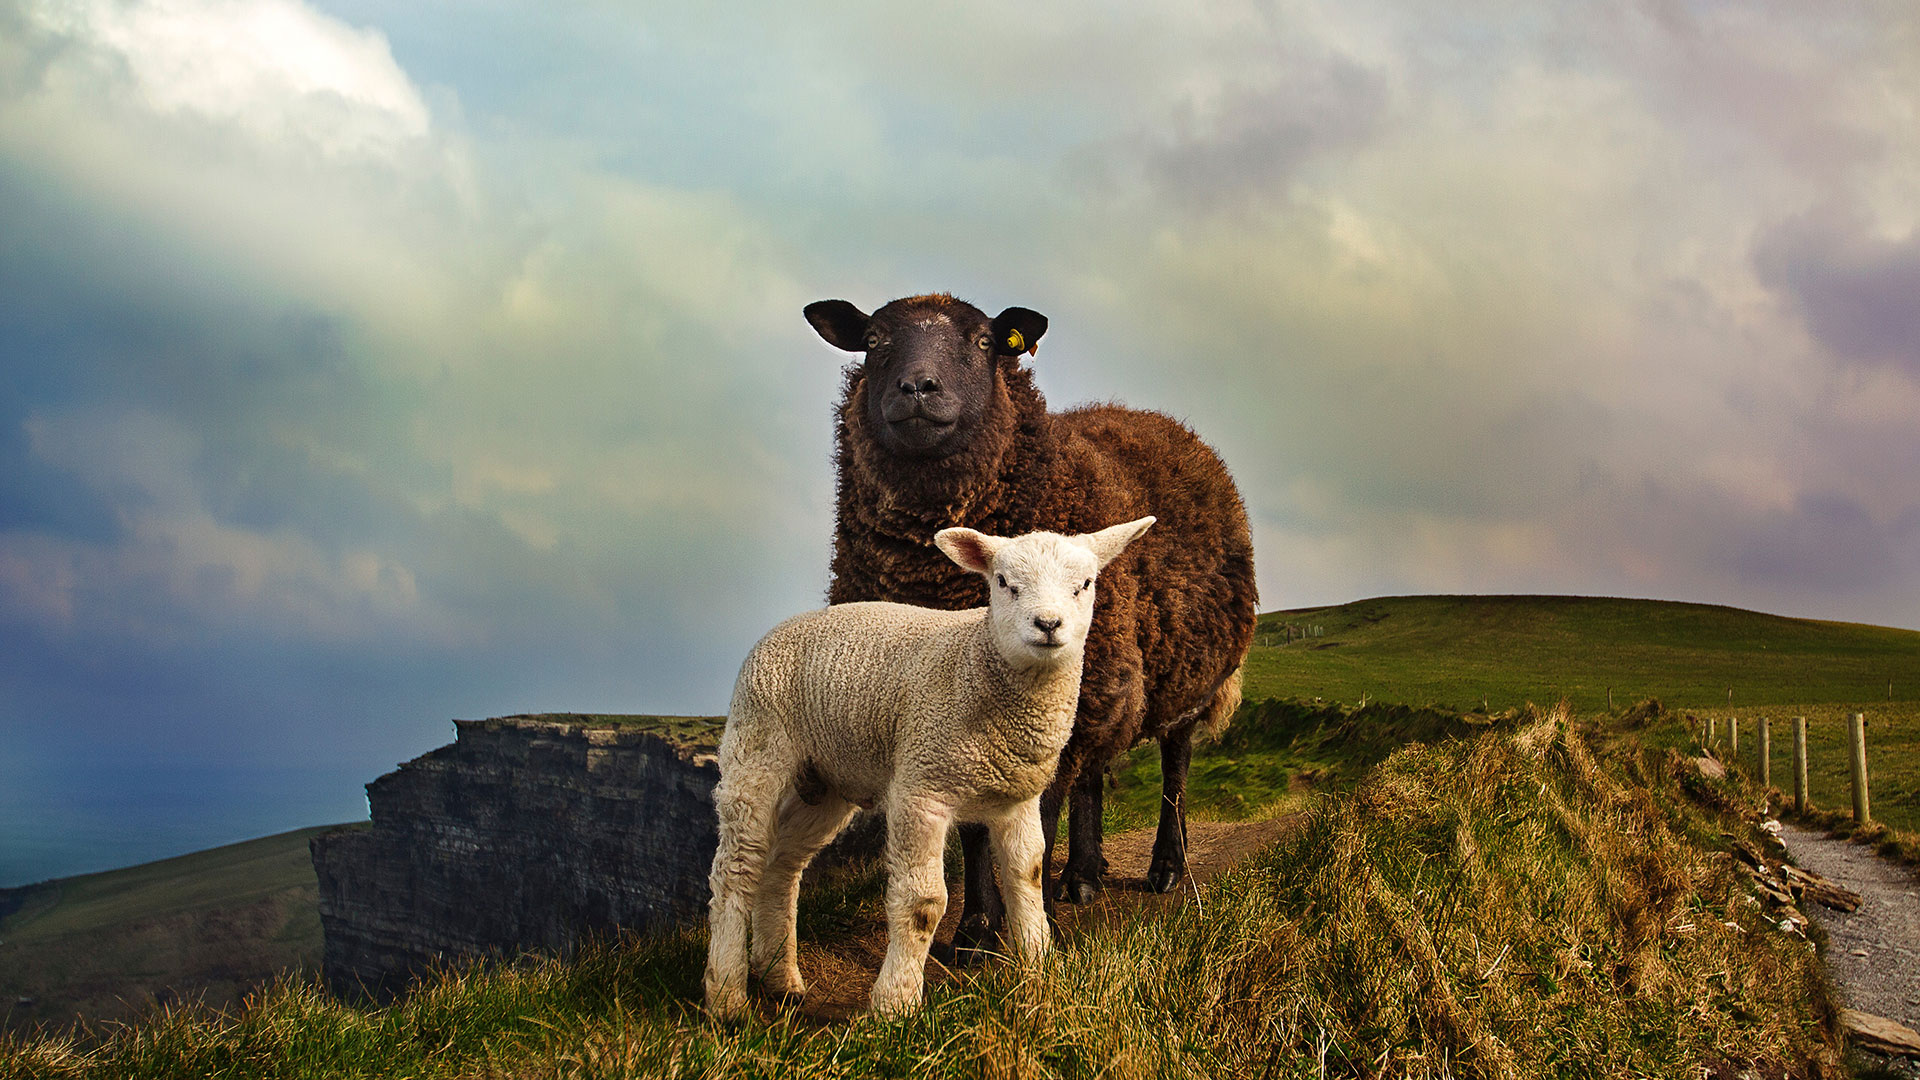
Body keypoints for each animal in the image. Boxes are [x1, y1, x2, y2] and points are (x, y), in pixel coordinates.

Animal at [702, 516, 1155, 1018]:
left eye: (1086, 584)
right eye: (1003, 582)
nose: (1048, 624)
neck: (977, 664)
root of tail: (783, 626)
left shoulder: (1017, 798)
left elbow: (1028, 877)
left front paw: (1040, 971)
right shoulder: (922, 788)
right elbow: (923, 902)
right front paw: (895, 1004)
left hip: (826, 780)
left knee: (781, 866)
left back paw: (779, 977)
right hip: (757, 745)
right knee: (736, 868)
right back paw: (727, 996)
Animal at [803, 293, 1257, 960]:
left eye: (984, 342)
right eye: (874, 340)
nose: (917, 387)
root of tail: (1163, 421)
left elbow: (1032, 822)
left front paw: (1017, 931)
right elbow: (976, 829)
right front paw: (973, 930)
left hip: (1182, 676)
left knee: (1174, 766)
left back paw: (1166, 868)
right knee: (1094, 773)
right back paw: (1084, 877)